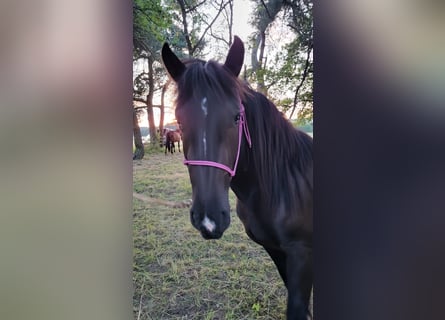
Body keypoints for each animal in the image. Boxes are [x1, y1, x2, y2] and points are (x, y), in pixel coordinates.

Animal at [160, 36, 312, 318]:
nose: (209, 219)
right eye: (180, 122)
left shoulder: (303, 254)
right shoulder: (277, 252)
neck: (282, 184)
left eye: (237, 117)